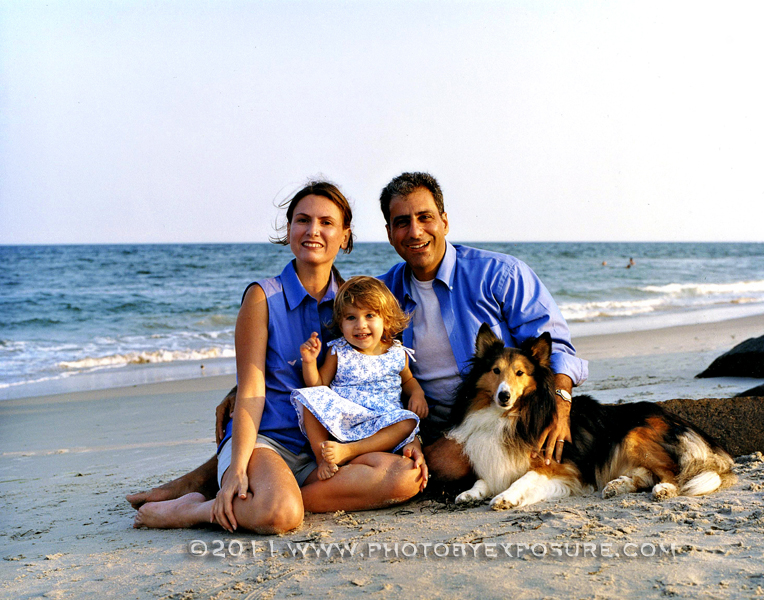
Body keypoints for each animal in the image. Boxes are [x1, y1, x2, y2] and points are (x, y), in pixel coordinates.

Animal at [448, 326, 736, 508]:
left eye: (520, 373)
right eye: (495, 370)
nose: (504, 396)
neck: (516, 415)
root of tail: (681, 421)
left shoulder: (557, 466)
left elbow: (523, 478)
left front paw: (505, 497)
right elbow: (483, 479)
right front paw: (470, 493)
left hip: (633, 435)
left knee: (673, 471)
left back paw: (665, 489)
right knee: (646, 474)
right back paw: (617, 486)